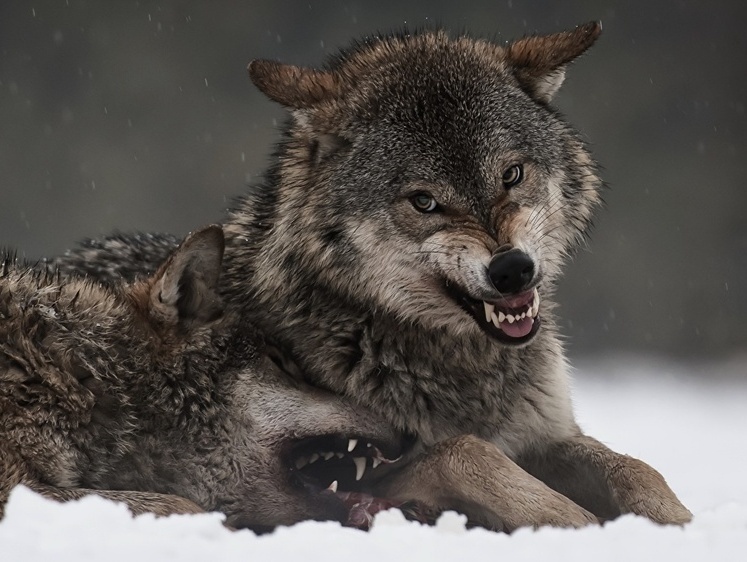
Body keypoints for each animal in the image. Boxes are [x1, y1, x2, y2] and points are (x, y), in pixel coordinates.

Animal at [55, 23, 692, 528]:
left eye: (511, 175)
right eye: (424, 201)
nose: (513, 269)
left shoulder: (548, 436)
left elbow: (637, 470)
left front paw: (677, 524)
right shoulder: (363, 472)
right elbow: (469, 452)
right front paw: (580, 525)